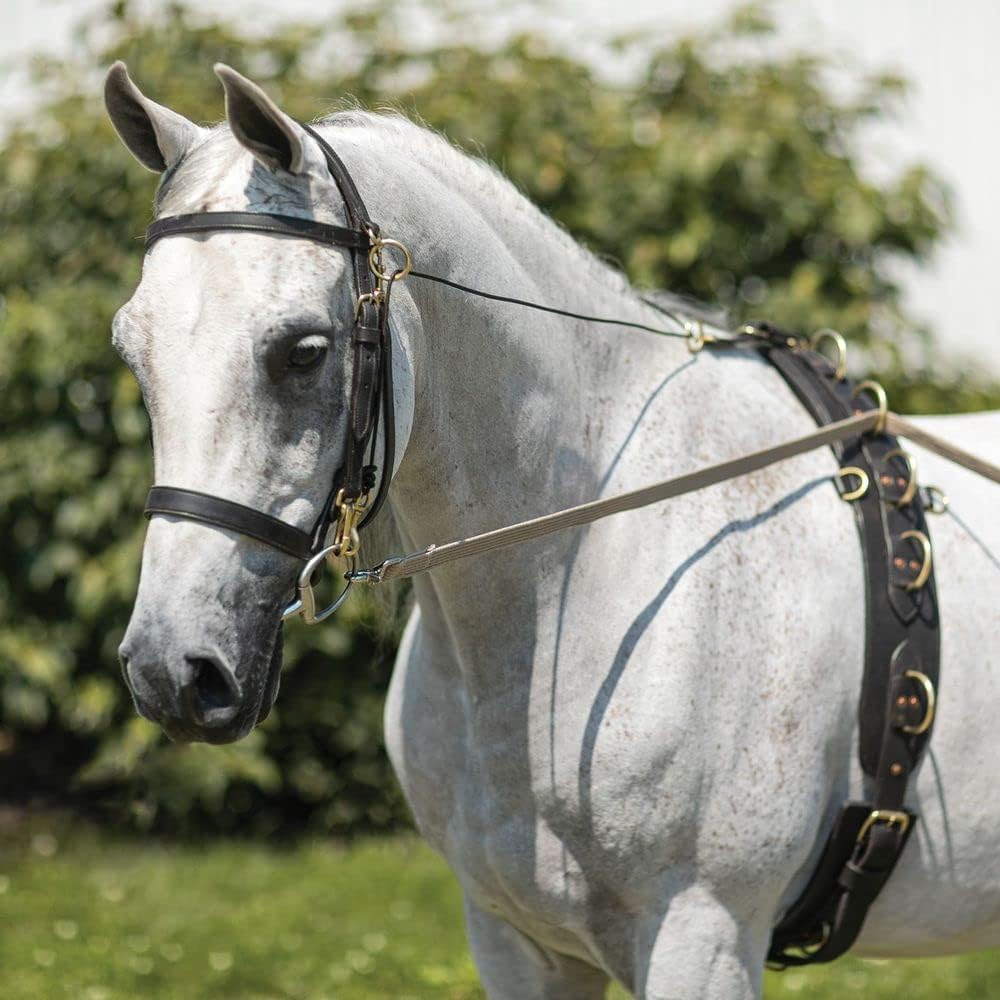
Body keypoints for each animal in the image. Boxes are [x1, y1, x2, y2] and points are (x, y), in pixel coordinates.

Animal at [104, 61, 1000, 998]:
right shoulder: (513, 939)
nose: (173, 670)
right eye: (133, 352)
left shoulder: (704, 933)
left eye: (304, 350)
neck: (587, 561)